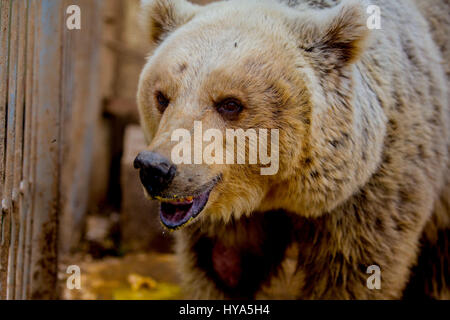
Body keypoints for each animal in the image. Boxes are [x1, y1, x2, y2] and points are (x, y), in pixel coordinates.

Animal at [134, 0, 450, 300]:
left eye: (230, 104)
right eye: (162, 97)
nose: (155, 168)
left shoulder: (372, 192)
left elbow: (352, 274)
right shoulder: (226, 227)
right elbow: (222, 267)